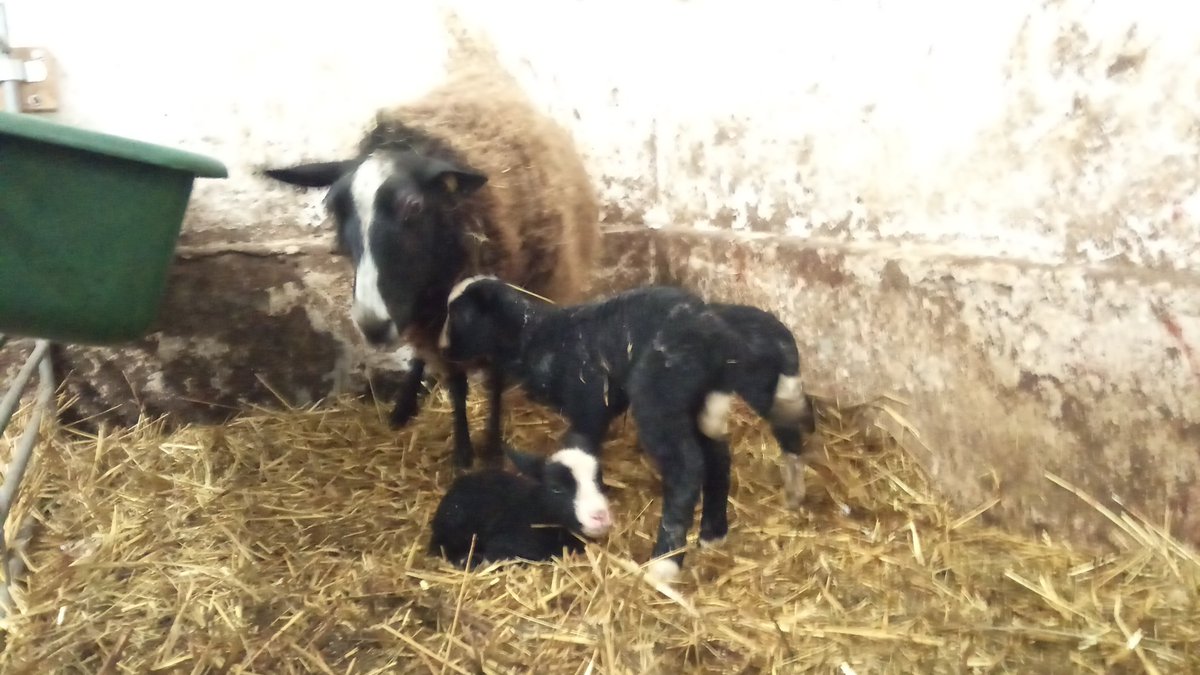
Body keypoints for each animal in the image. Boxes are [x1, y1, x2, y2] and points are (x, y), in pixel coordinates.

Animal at [262, 65, 600, 469]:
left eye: (414, 206)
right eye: (334, 207)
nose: (372, 325)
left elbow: (495, 379)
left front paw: (491, 448)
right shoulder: (430, 319)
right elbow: (455, 384)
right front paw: (463, 451)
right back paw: (404, 405)